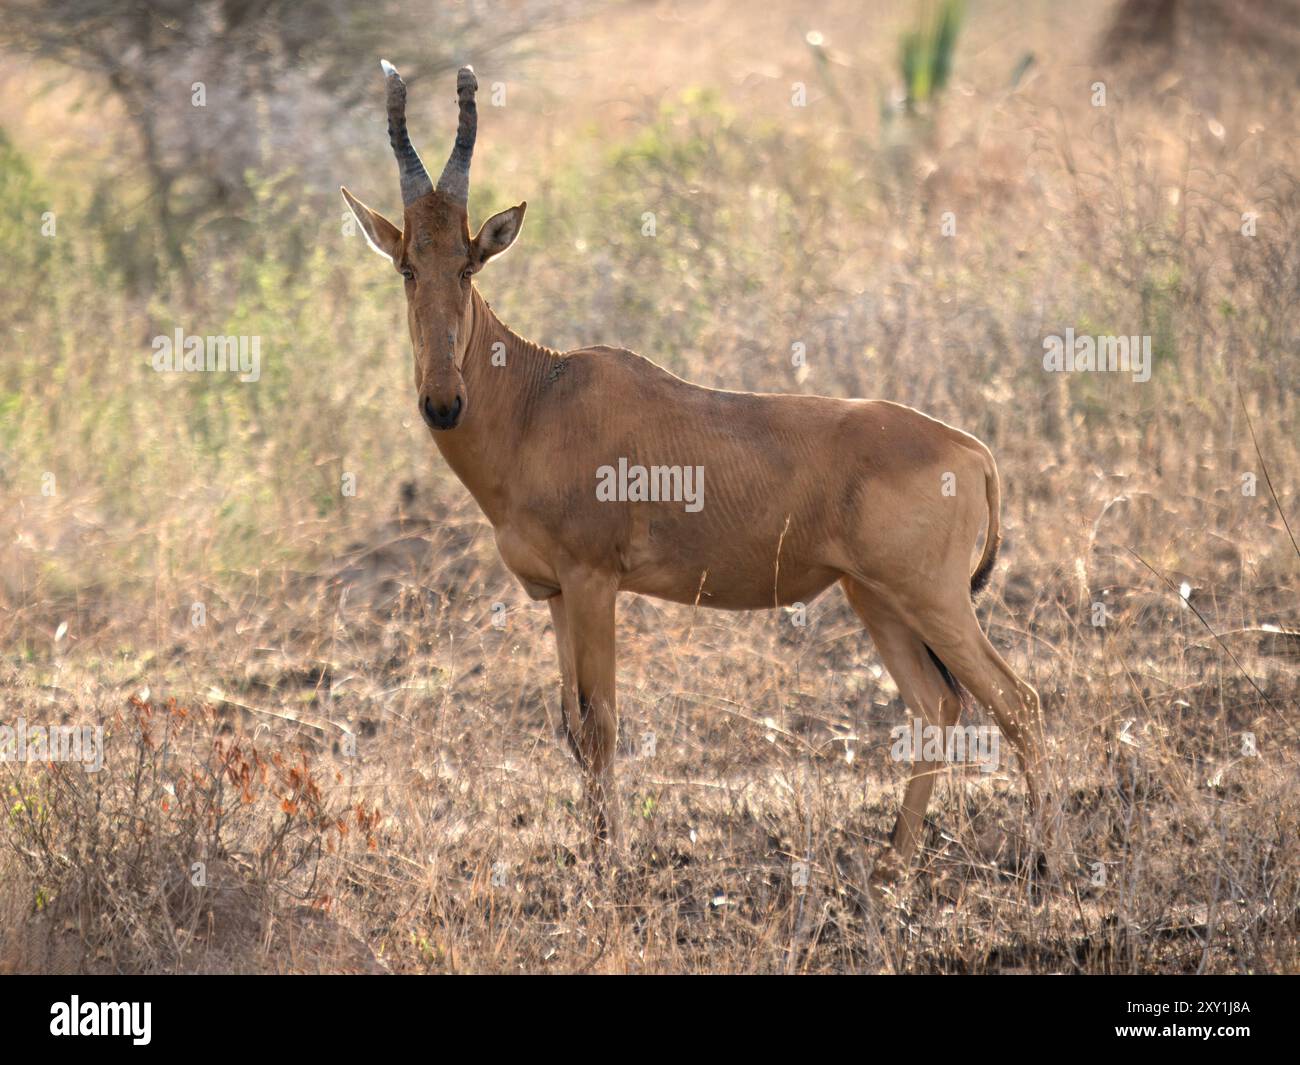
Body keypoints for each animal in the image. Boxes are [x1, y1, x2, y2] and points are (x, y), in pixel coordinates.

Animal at [340, 62, 1050, 889]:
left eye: (468, 261)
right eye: (406, 265)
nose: (443, 402)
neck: (539, 394)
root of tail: (970, 450)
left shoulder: (594, 582)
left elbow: (602, 724)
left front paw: (610, 867)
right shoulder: (555, 594)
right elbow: (570, 725)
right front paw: (594, 855)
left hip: (934, 598)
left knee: (1019, 701)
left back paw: (1050, 860)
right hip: (877, 598)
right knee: (936, 707)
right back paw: (888, 868)